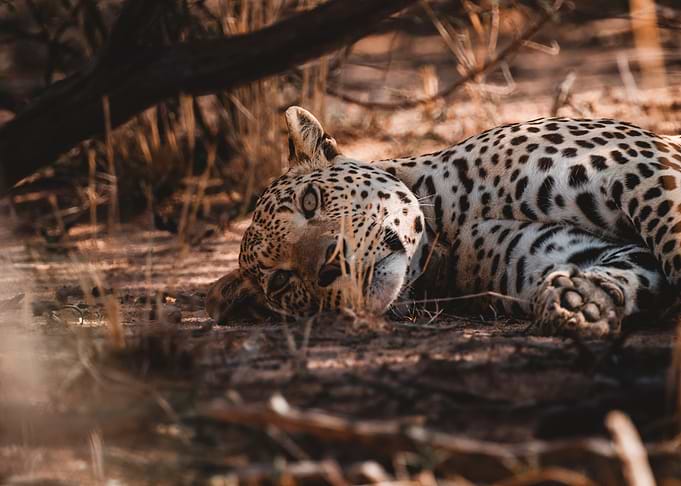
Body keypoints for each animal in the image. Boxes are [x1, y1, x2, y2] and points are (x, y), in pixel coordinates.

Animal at [206, 106, 681, 337]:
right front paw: (580, 301)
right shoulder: (573, 253)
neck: (448, 231)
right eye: (280, 282)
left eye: (310, 200)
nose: (328, 265)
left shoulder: (638, 166)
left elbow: (671, 236)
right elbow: (623, 268)